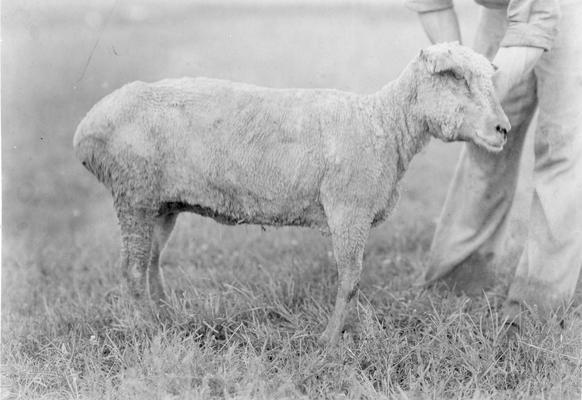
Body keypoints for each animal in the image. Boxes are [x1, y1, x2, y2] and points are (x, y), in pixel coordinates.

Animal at [74, 43, 512, 344]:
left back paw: (170, 321)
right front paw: (330, 342)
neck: (385, 125)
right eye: (456, 77)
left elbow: (354, 280)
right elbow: (350, 279)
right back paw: (150, 330)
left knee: (151, 262)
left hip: (161, 204)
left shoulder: (352, 213)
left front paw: (360, 332)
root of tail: (86, 127)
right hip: (134, 194)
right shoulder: (347, 208)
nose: (503, 129)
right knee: (132, 270)